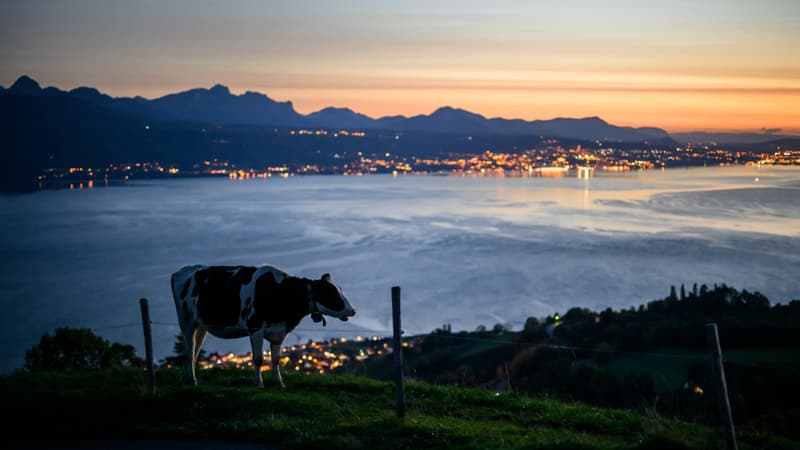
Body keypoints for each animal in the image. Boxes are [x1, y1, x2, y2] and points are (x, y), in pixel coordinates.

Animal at [171, 266, 356, 388]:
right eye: (331, 292)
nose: (353, 310)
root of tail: (181, 271)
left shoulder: (279, 331)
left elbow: (276, 359)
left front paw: (279, 382)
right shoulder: (255, 328)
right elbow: (259, 358)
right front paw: (259, 384)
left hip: (201, 325)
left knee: (195, 351)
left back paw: (189, 379)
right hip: (186, 321)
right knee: (189, 351)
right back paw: (192, 381)